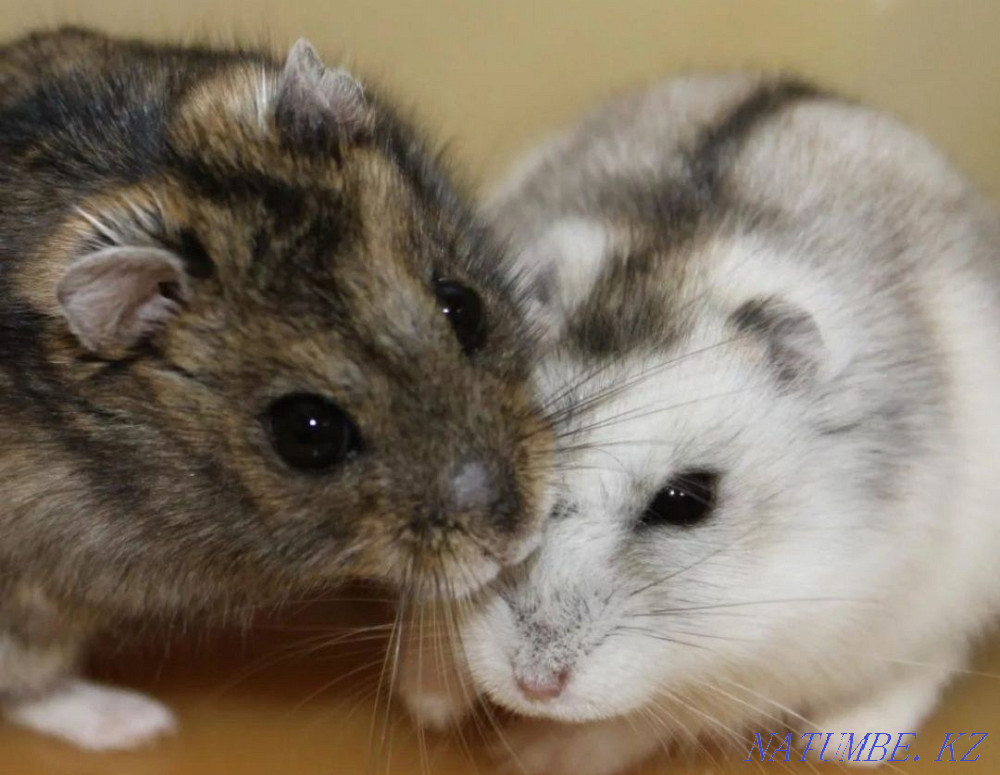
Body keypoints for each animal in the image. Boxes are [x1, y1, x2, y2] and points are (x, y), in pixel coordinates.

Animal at [398, 75, 1000, 774]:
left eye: (686, 501)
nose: (533, 686)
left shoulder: (779, 646)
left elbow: (653, 715)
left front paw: (529, 751)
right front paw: (430, 702)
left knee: (930, 658)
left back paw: (846, 741)